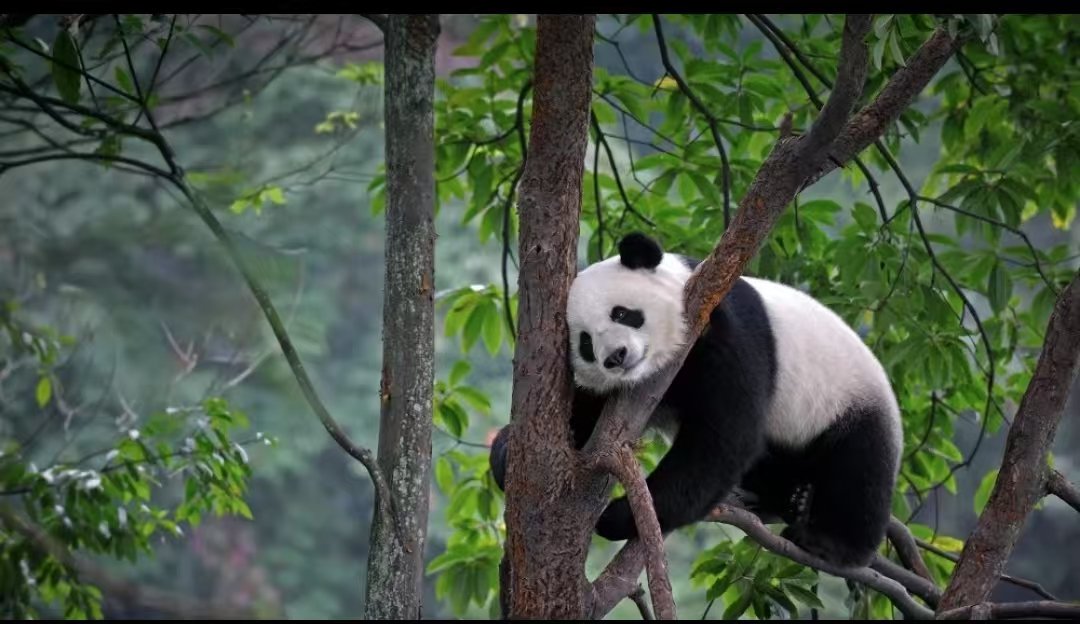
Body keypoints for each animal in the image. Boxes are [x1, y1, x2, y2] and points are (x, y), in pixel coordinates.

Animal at [490, 231, 903, 568]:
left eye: (622, 313)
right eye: (586, 344)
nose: (616, 357)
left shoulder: (724, 329)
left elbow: (722, 439)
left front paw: (619, 516)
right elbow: (585, 418)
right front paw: (508, 454)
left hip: (848, 398)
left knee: (859, 466)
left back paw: (828, 541)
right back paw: (788, 498)